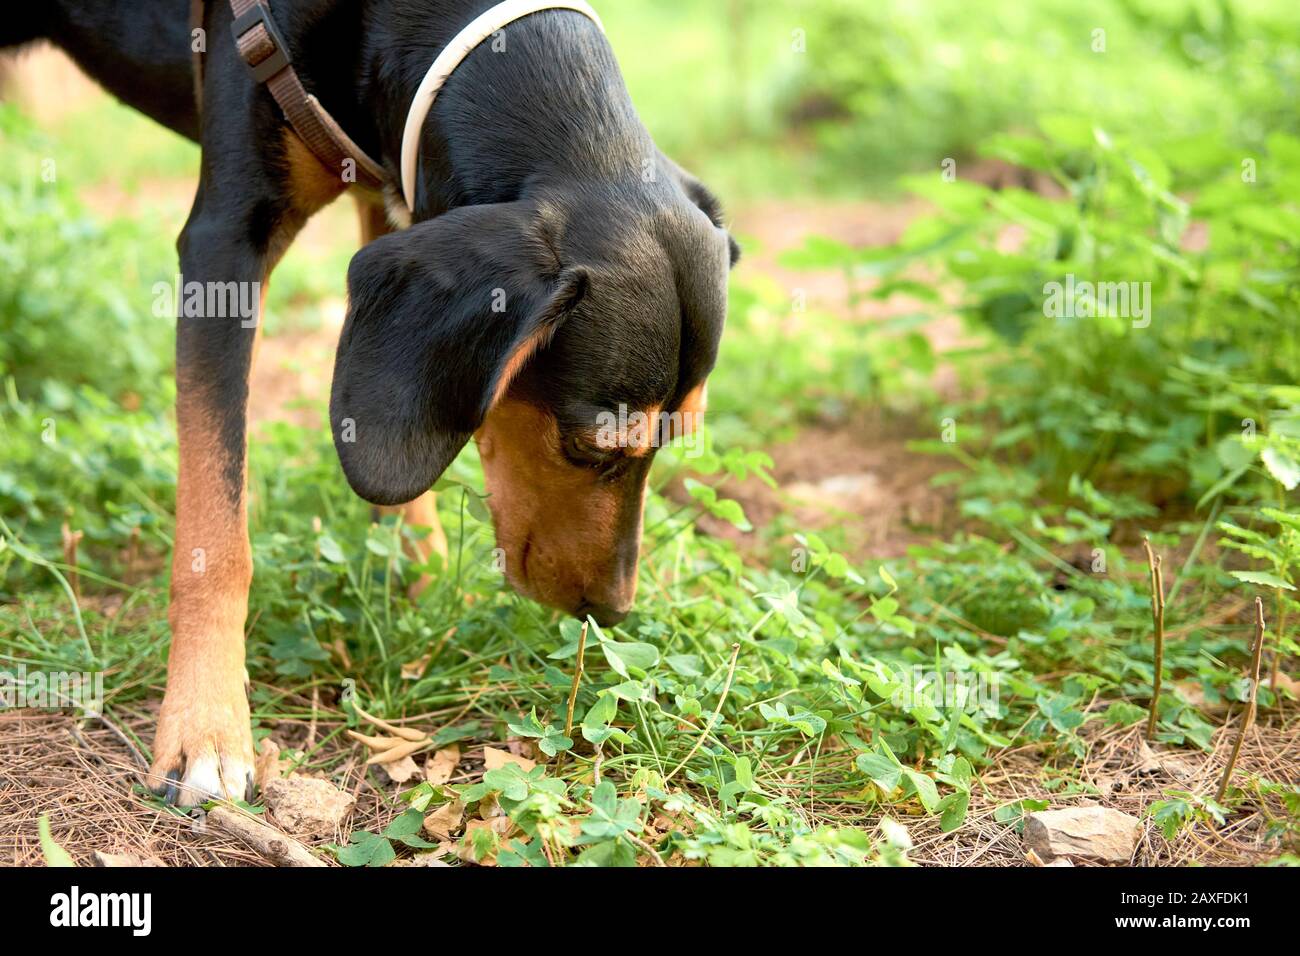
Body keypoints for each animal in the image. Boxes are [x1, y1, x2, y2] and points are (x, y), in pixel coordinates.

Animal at [7, 0, 743, 806]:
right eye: (588, 445)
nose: (611, 611)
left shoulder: (398, 195)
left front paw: (424, 578)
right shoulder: (224, 246)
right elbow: (215, 526)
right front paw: (206, 727)